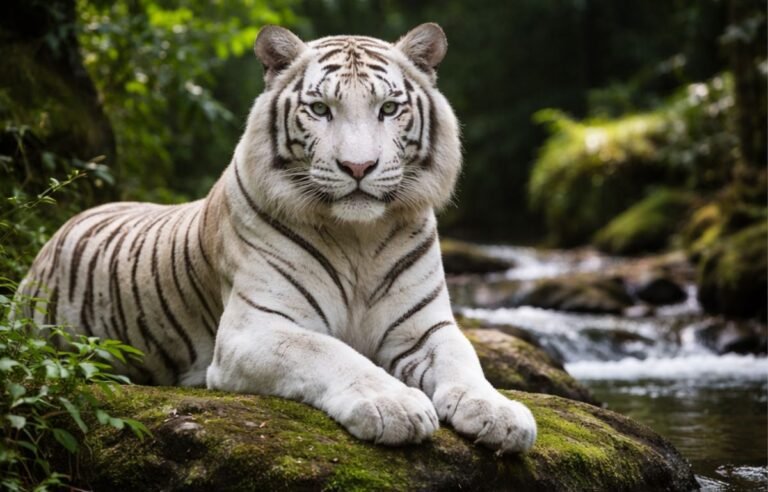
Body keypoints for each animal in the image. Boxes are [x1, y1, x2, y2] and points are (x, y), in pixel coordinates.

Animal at [19, 23, 536, 453]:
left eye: (388, 108)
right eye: (320, 109)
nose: (358, 167)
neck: (359, 237)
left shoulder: (425, 326)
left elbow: (464, 359)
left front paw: (500, 413)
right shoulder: (254, 328)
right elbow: (330, 352)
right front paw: (394, 405)